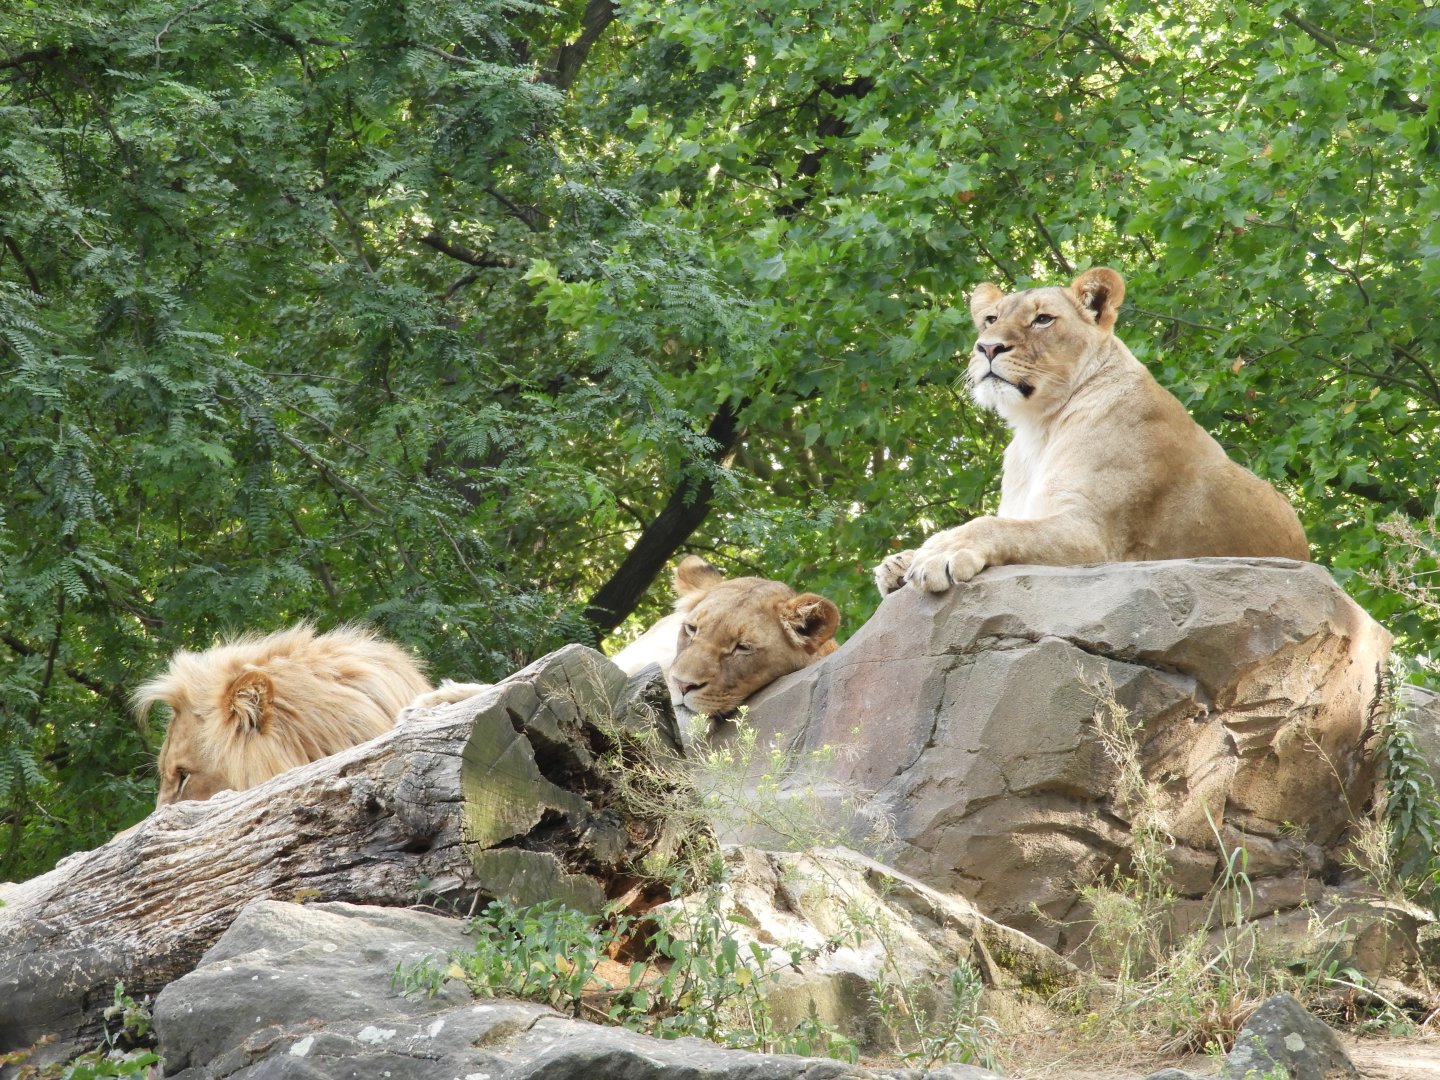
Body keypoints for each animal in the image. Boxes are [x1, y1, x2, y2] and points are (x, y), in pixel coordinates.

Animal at [875, 267, 1308, 595]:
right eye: (990, 319)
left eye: (1042, 319)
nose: (988, 348)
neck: (1038, 429)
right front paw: (899, 562)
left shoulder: (1096, 537)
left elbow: (991, 524)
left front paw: (940, 555)